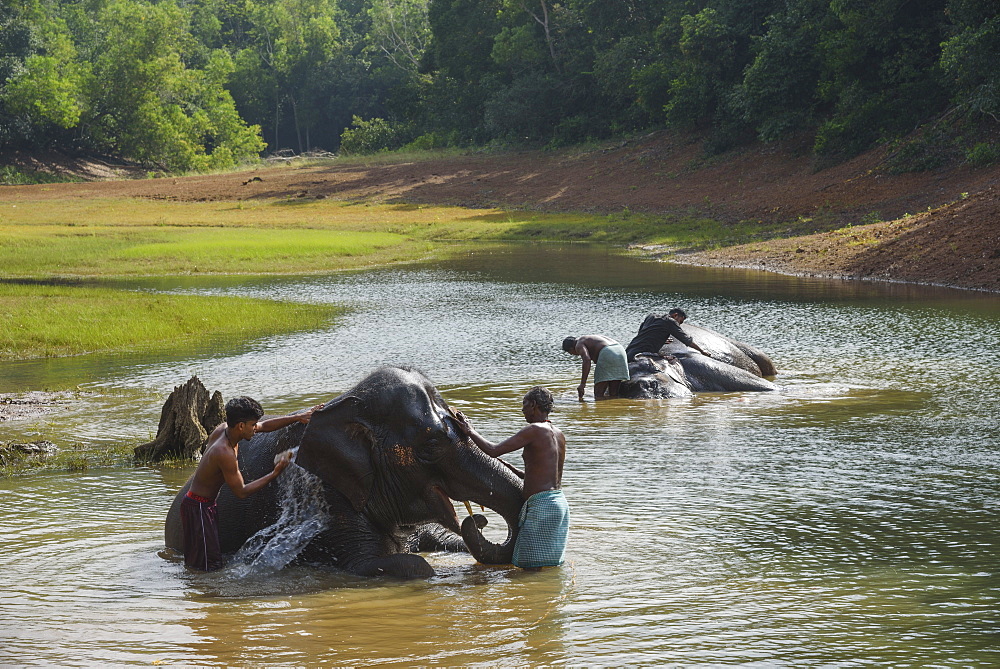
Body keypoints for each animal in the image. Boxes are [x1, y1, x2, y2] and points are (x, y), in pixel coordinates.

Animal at [164, 362, 524, 576]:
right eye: (432, 446)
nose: (478, 520)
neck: (349, 403)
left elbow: (434, 539)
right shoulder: (331, 492)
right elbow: (403, 565)